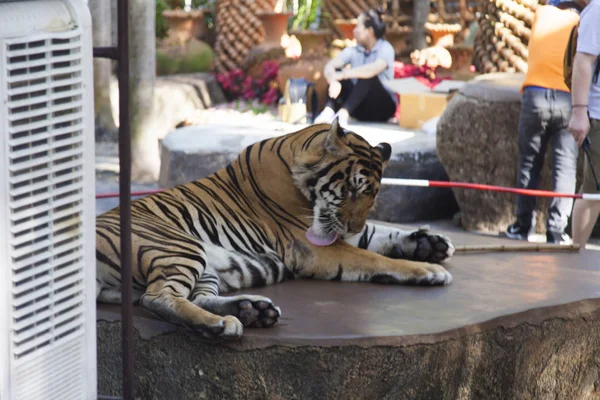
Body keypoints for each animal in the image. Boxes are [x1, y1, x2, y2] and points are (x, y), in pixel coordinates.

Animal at [97, 117, 454, 340]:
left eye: (373, 195)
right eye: (353, 189)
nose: (352, 225)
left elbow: (380, 234)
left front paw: (432, 244)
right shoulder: (311, 246)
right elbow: (376, 259)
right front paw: (428, 269)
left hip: (203, 267)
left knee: (191, 296)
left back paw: (251, 311)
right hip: (179, 246)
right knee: (158, 298)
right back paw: (224, 325)